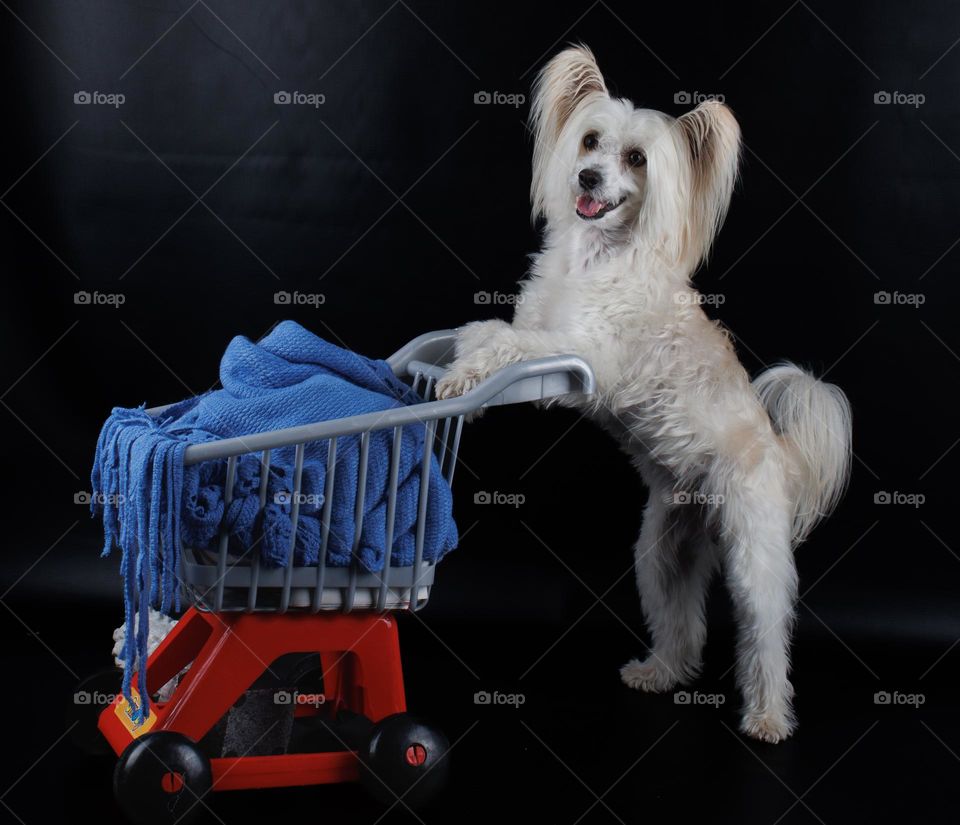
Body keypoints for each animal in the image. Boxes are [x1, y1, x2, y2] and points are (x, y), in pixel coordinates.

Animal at [438, 45, 852, 740]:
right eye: (590, 142)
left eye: (636, 160)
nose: (587, 178)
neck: (595, 259)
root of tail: (778, 450)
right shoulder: (539, 325)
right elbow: (494, 330)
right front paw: (459, 359)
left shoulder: (581, 360)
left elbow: (511, 345)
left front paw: (464, 374)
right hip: (662, 554)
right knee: (682, 622)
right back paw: (662, 674)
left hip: (753, 553)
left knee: (765, 635)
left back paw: (768, 715)